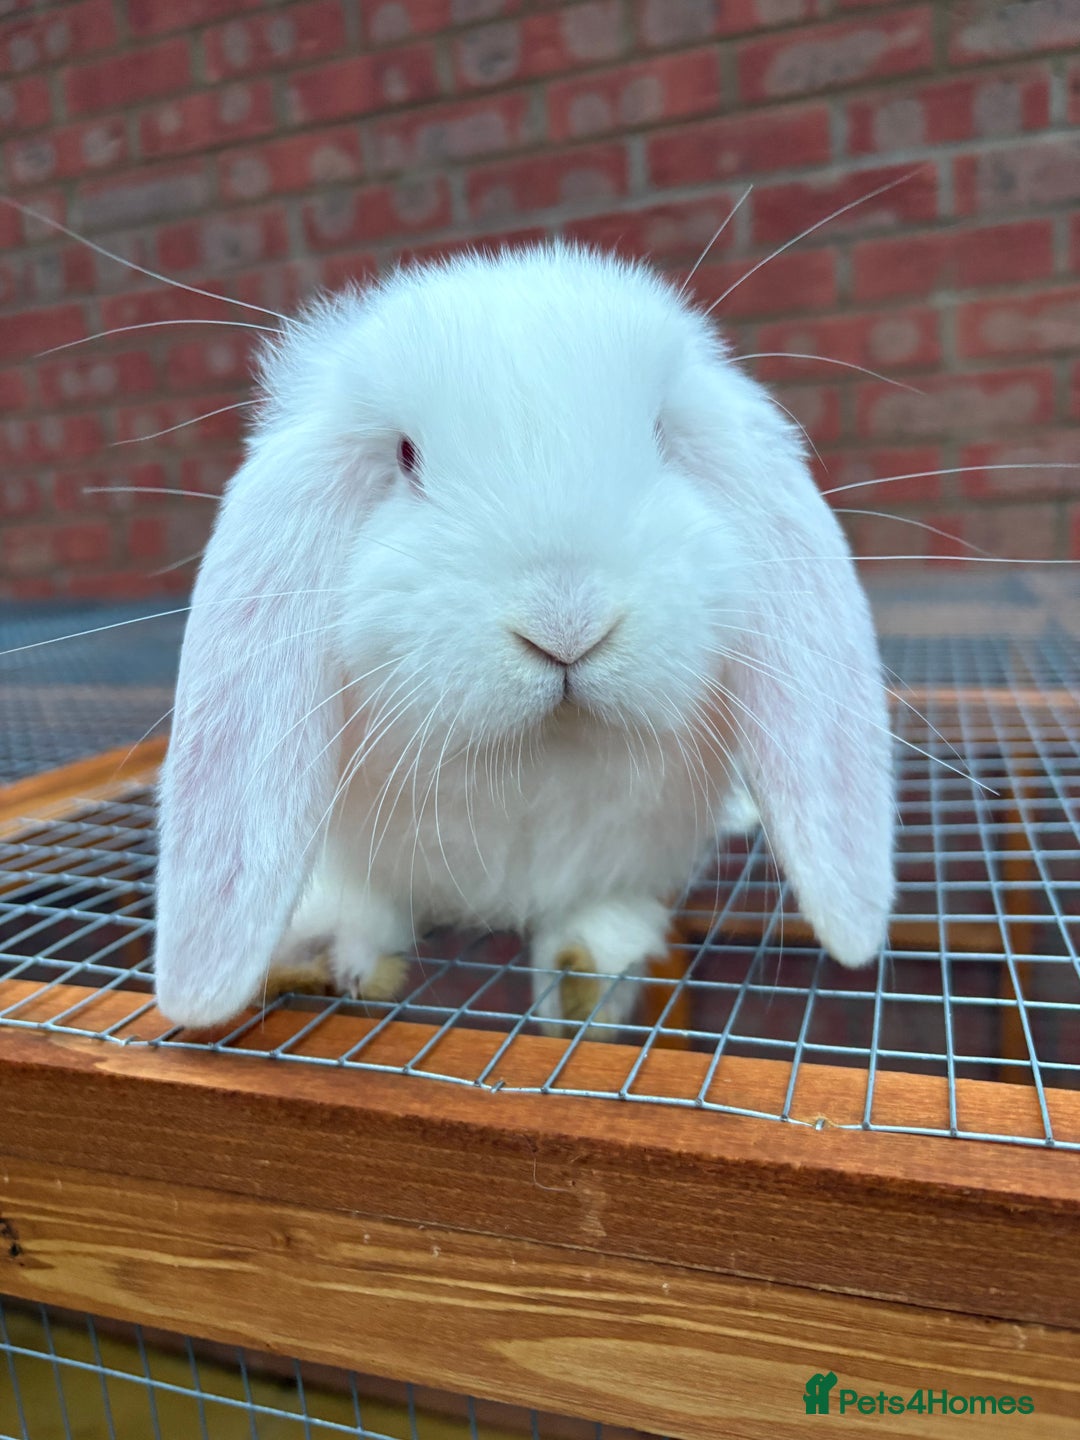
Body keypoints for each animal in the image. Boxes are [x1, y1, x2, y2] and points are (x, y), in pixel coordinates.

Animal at [153, 243, 895, 1032]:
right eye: (407, 456)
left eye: (662, 436)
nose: (565, 627)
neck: (535, 762)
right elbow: (368, 903)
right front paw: (323, 955)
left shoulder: (621, 862)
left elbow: (598, 921)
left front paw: (581, 985)